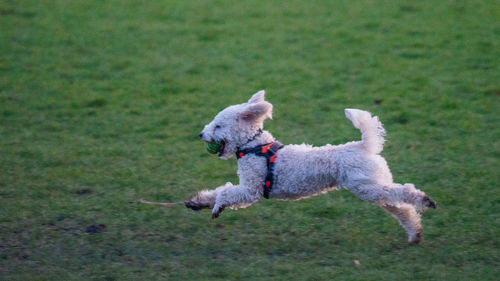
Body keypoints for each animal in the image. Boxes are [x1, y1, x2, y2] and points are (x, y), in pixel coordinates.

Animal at [186, 90, 436, 243]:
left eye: (218, 125)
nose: (200, 134)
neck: (253, 146)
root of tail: (364, 145)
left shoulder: (251, 189)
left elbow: (226, 193)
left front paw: (217, 207)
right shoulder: (246, 186)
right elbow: (219, 190)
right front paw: (197, 202)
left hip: (367, 186)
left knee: (405, 192)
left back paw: (425, 200)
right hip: (373, 185)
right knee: (401, 207)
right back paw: (415, 234)